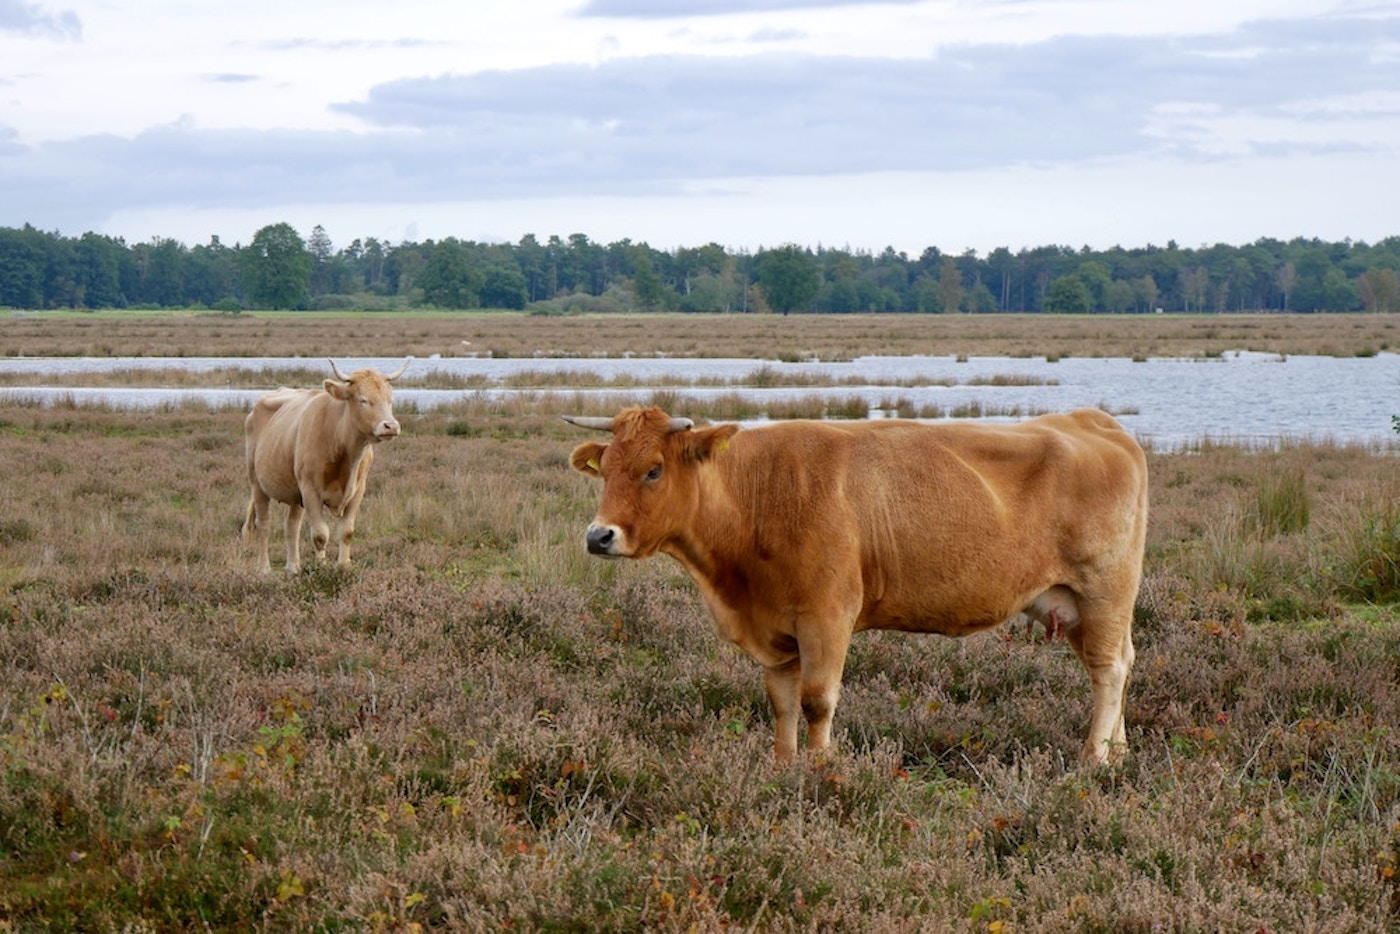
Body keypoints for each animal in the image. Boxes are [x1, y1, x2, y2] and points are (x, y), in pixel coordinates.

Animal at [238, 361, 406, 574]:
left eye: (390, 400)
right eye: (363, 400)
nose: (391, 426)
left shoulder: (358, 490)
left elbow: (346, 530)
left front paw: (343, 566)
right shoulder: (310, 490)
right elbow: (320, 534)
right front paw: (321, 569)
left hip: (295, 493)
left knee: (291, 525)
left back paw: (293, 567)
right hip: (257, 484)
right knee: (264, 524)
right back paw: (264, 568)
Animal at [568, 406, 1148, 767]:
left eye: (653, 470)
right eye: (606, 469)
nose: (599, 536)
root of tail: (1094, 421)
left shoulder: (827, 616)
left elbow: (817, 701)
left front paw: (823, 768)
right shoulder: (775, 631)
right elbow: (781, 703)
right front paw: (783, 766)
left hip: (1104, 591)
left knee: (1109, 671)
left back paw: (1094, 758)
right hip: (1075, 607)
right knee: (1121, 663)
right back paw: (1119, 754)